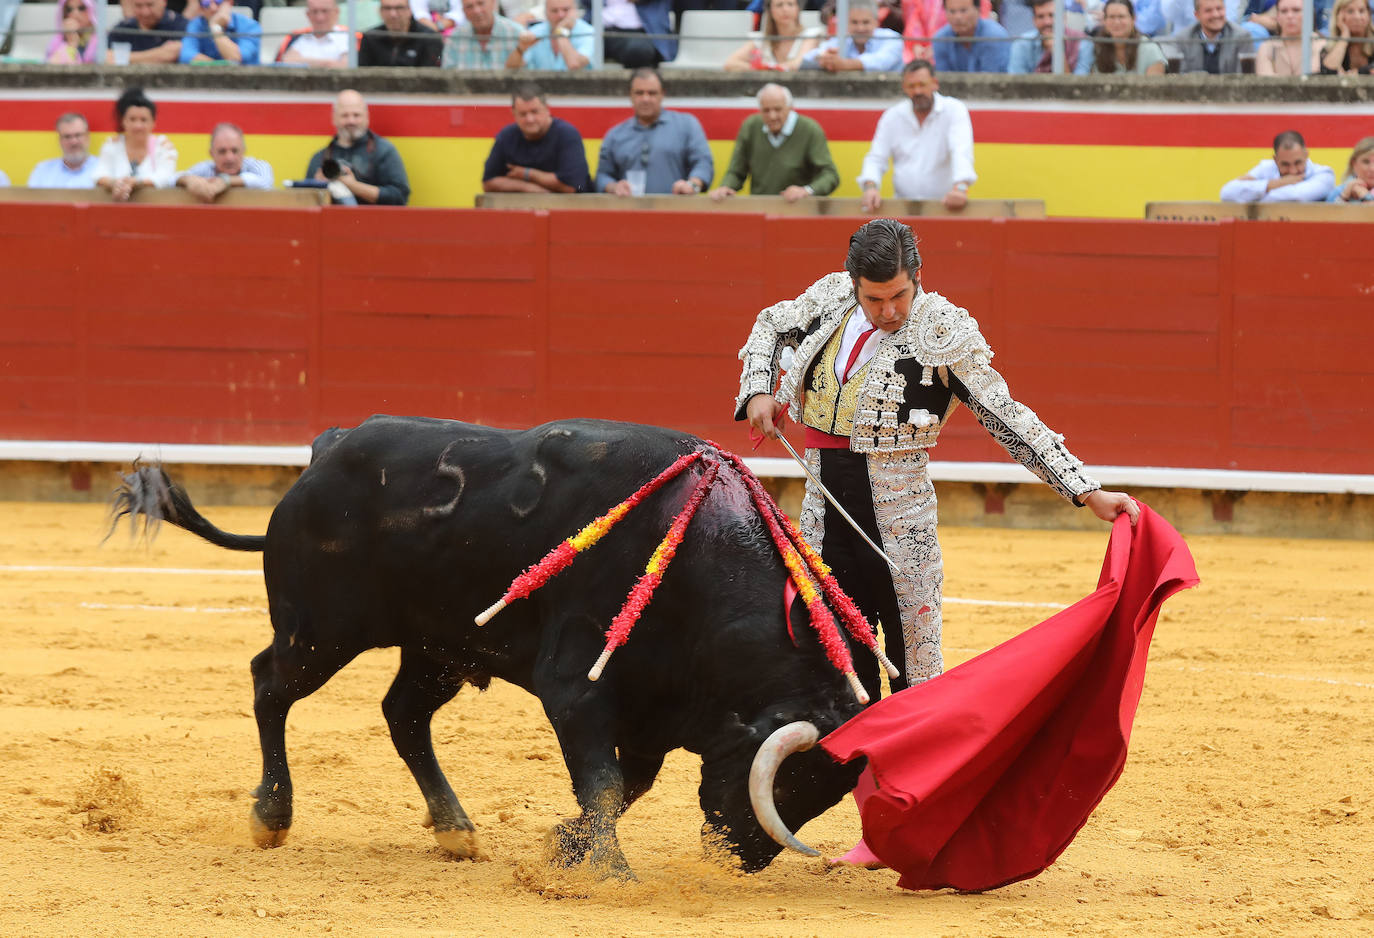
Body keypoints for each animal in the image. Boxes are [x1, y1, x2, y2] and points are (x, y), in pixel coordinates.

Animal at [115, 414, 868, 878]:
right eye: (785, 783)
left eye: (819, 795)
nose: (741, 860)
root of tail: (326, 450)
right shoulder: (577, 687)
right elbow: (603, 781)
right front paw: (609, 871)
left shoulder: (651, 711)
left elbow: (626, 783)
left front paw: (565, 845)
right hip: (320, 631)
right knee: (269, 684)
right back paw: (272, 814)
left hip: (435, 648)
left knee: (403, 715)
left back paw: (454, 827)